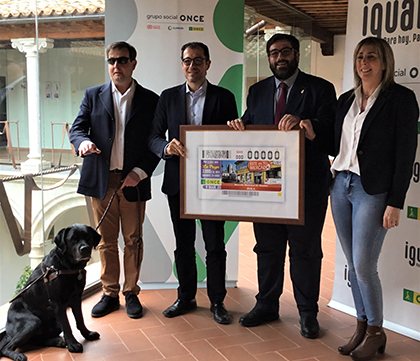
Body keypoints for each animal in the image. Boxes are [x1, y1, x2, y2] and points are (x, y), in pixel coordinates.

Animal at [0, 224, 101, 358]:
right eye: (73, 239)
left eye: (88, 236)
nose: (85, 249)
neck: (67, 267)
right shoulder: (58, 304)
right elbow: (67, 325)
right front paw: (73, 345)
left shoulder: (76, 298)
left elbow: (80, 319)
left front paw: (87, 334)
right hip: (32, 321)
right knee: (6, 347)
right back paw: (17, 355)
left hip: (54, 324)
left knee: (37, 340)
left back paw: (58, 341)